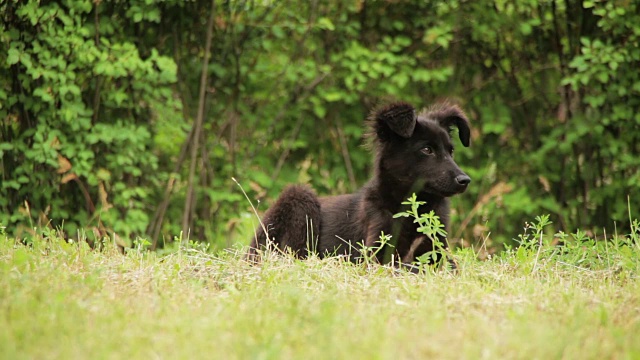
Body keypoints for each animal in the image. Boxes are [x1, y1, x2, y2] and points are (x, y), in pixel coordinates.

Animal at [248, 101, 472, 268]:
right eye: (427, 150)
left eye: (451, 151)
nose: (465, 181)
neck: (412, 208)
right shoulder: (376, 254)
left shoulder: (435, 248)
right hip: (299, 198)